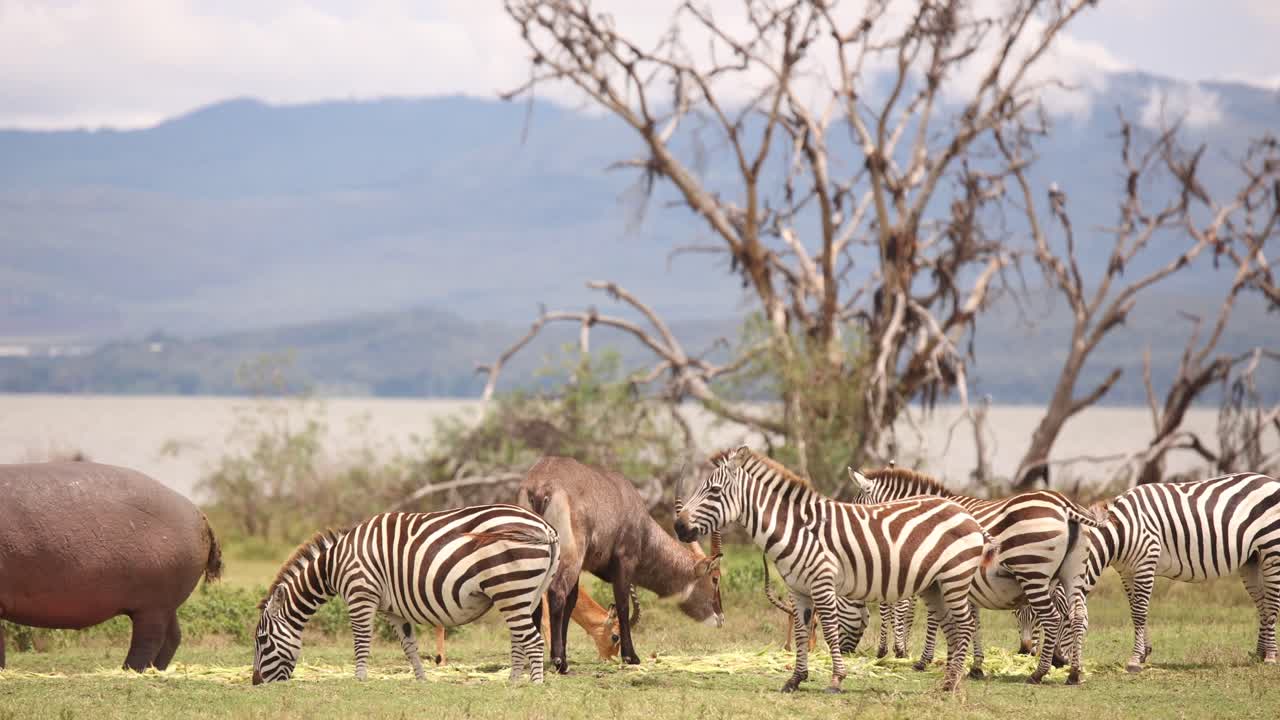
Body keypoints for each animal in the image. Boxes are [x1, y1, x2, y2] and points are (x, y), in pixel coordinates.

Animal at [252, 505, 559, 684]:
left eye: (262, 640)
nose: (256, 682)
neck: (335, 564)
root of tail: (545, 527)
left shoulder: (360, 595)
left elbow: (361, 641)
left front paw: (359, 679)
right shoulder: (392, 610)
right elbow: (409, 646)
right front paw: (421, 680)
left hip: (509, 588)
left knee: (533, 641)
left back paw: (535, 684)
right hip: (524, 593)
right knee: (521, 639)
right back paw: (513, 682)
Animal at [674, 446, 996, 692]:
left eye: (714, 490)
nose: (678, 526)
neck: (797, 529)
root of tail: (965, 512)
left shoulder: (822, 583)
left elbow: (829, 630)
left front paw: (836, 679)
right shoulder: (798, 589)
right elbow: (802, 632)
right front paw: (795, 679)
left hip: (954, 579)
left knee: (965, 624)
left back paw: (954, 680)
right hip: (934, 586)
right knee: (951, 627)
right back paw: (949, 680)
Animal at [849, 466, 1103, 683]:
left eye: (858, 508)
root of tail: (1064, 505)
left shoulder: (939, 577)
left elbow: (935, 619)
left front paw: (926, 660)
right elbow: (974, 621)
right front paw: (975, 666)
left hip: (1033, 572)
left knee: (1052, 618)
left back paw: (1039, 673)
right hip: (1074, 574)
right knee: (1078, 616)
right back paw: (1074, 674)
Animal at [1062, 471, 1280, 682]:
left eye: (1065, 620)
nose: (1059, 663)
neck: (1120, 532)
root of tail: (1271, 481)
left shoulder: (1145, 564)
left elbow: (1140, 612)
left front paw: (1134, 661)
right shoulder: (1127, 572)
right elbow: (1134, 610)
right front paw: (1144, 653)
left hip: (1272, 550)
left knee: (1272, 603)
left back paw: (1270, 656)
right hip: (1252, 560)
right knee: (1262, 604)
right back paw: (1260, 654)